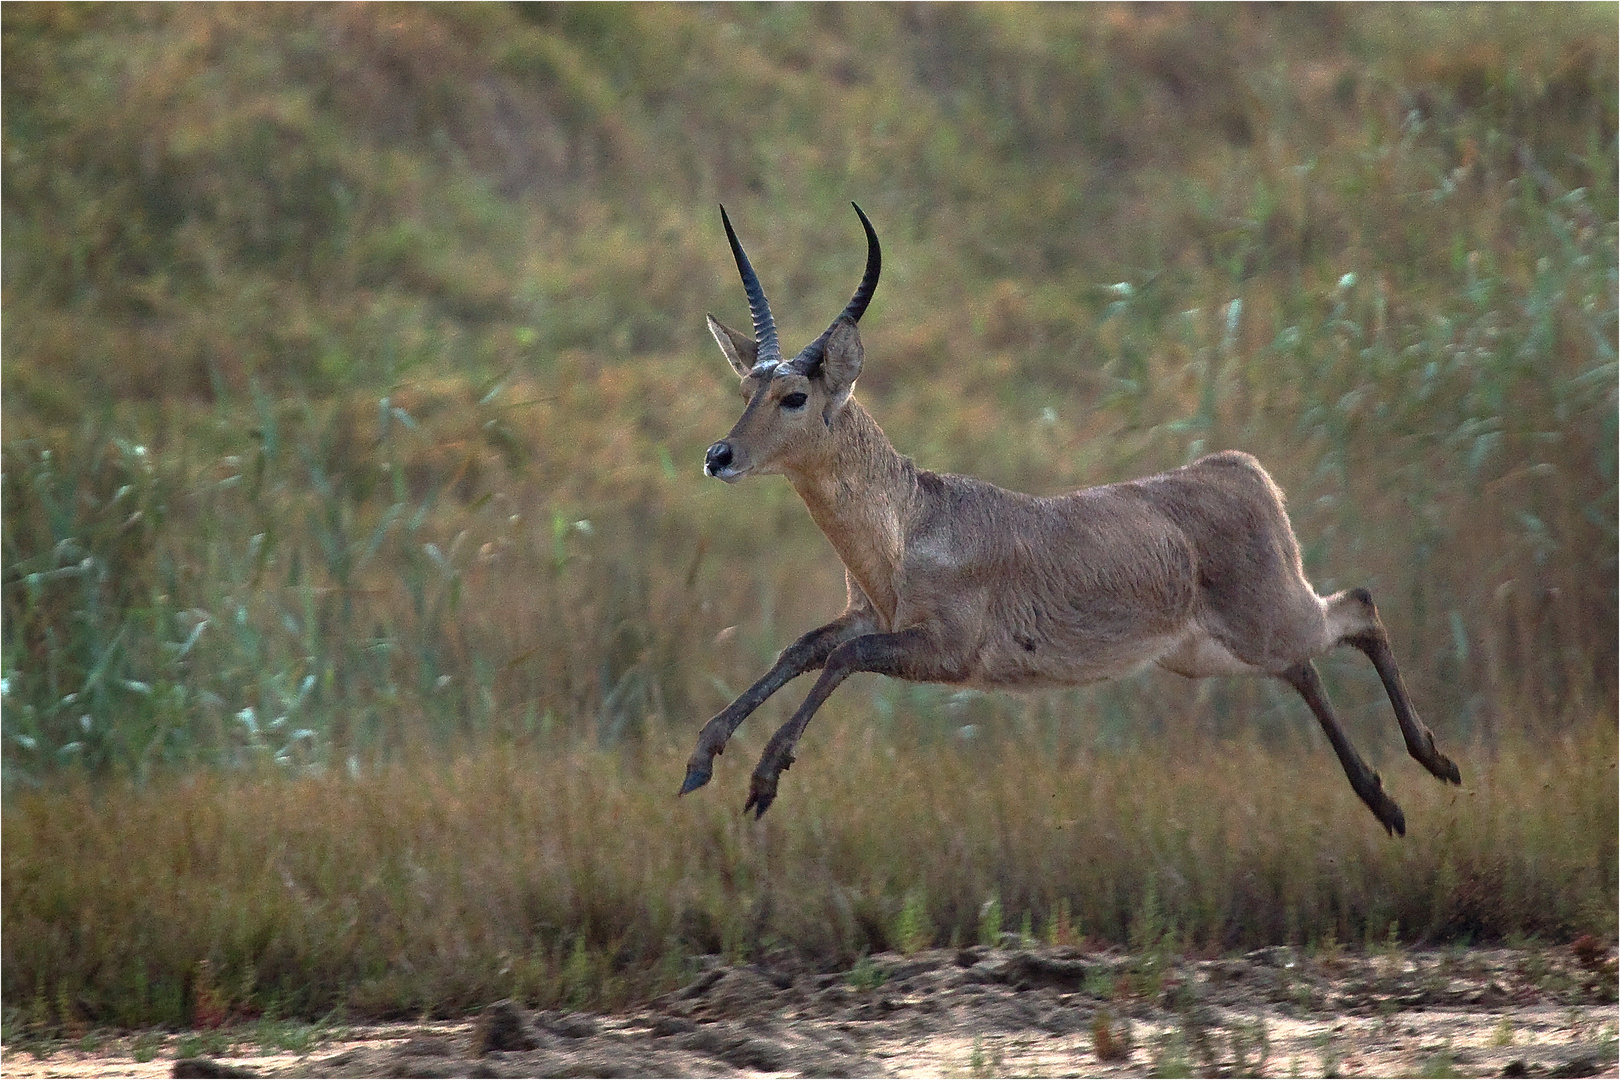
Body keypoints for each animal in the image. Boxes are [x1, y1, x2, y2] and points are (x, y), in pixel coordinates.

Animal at [677, 202, 1464, 835]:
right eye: (746, 388)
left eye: (795, 396)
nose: (719, 455)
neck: (907, 529)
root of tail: (1240, 470)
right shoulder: (867, 616)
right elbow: (801, 649)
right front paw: (700, 760)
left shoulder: (945, 650)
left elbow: (839, 659)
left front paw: (764, 778)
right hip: (1206, 651)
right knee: (1308, 666)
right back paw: (1387, 799)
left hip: (1266, 619)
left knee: (1359, 607)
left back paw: (1434, 767)